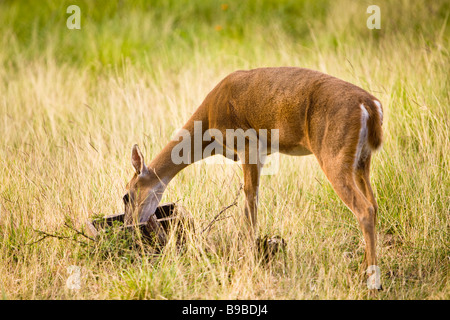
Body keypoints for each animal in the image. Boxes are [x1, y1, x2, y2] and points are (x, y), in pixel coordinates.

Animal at [123, 66, 384, 288]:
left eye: (127, 195)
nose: (129, 225)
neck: (208, 127)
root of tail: (370, 105)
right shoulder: (260, 152)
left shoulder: (247, 145)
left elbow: (250, 201)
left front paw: (248, 256)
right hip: (362, 160)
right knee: (373, 204)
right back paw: (362, 269)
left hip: (333, 153)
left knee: (363, 209)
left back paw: (372, 280)